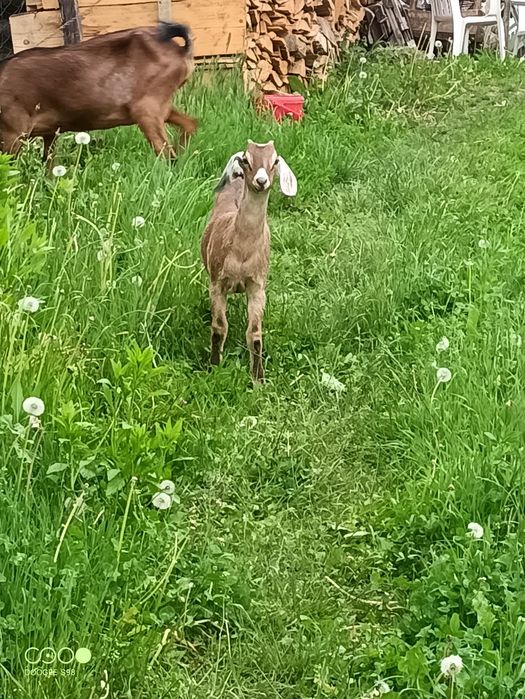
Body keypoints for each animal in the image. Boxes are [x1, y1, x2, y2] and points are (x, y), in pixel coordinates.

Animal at [0, 22, 197, 160]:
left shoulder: (13, 130)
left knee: (166, 152)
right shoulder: (50, 131)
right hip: (161, 105)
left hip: (147, 107)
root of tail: (182, 51)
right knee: (190, 124)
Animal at [201, 140, 297, 382]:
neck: (242, 253)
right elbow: (219, 327)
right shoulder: (217, 283)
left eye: (275, 160)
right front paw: (214, 368)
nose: (261, 181)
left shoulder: (257, 286)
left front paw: (258, 380)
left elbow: (254, 334)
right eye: (246, 159)